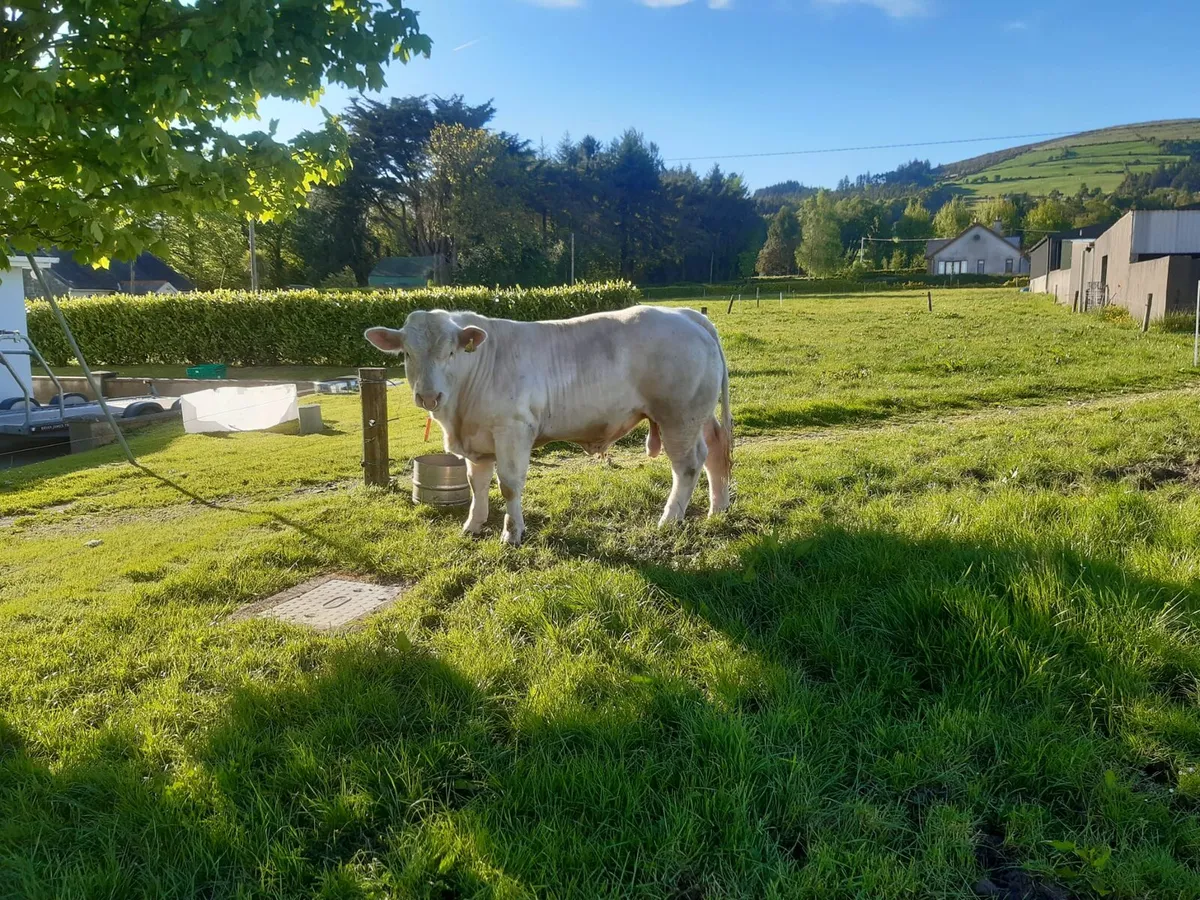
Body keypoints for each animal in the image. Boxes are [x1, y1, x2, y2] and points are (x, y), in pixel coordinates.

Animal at [364, 305, 732, 545]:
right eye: (407, 354)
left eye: (451, 352)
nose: (428, 396)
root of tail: (686, 314)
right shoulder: (478, 440)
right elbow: (476, 484)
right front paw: (473, 525)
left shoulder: (512, 431)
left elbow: (509, 485)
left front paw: (512, 533)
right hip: (698, 414)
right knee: (715, 449)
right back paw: (718, 509)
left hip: (679, 415)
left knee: (687, 466)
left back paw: (669, 520)